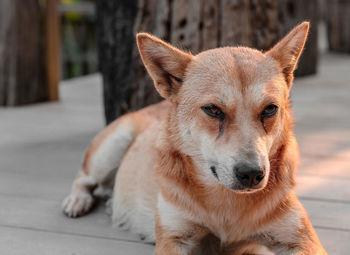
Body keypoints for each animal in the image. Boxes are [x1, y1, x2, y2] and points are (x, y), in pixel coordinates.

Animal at [62, 22, 326, 255]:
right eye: (213, 110)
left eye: (270, 109)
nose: (252, 173)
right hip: (109, 149)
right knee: (83, 177)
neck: (226, 204)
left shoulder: (301, 240)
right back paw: (77, 201)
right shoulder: (174, 238)